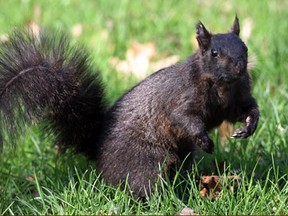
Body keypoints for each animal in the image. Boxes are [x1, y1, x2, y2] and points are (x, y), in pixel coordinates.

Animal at [0, 16, 258, 197]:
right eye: (214, 53)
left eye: (245, 47)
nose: (239, 67)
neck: (223, 85)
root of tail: (98, 151)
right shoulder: (182, 98)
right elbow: (184, 118)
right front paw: (206, 141)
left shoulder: (236, 98)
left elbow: (245, 110)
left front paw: (248, 127)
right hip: (147, 161)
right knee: (143, 184)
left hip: (181, 155)